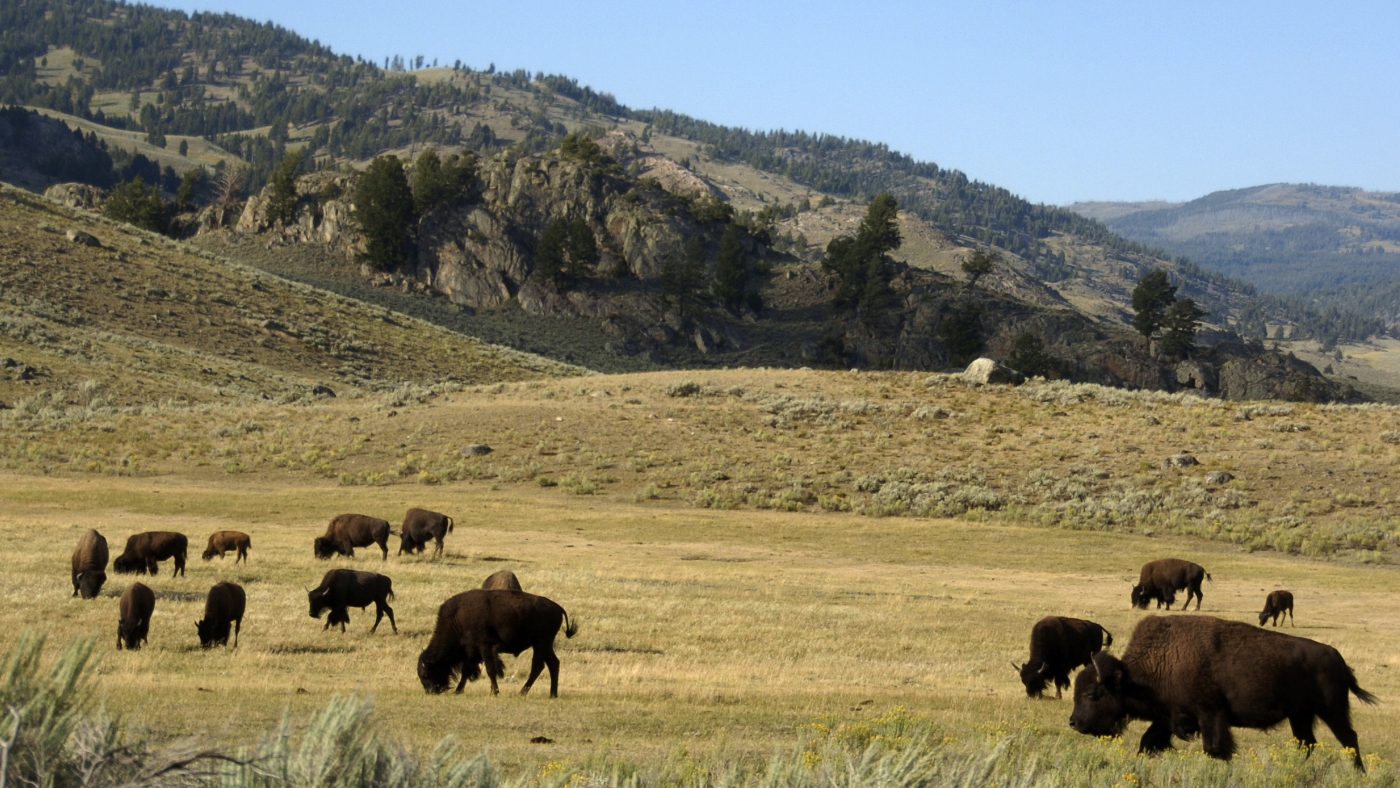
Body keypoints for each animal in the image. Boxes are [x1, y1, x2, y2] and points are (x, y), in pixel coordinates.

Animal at [417, 589, 578, 697]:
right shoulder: (471, 652)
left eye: (426, 675)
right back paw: (552, 694)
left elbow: (490, 669)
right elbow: (466, 670)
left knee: (538, 666)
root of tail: (558, 608)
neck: (457, 618)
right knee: (553, 664)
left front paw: (494, 692)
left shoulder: (485, 647)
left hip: (541, 644)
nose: (431, 691)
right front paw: (458, 690)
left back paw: (522, 692)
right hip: (544, 645)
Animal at [1070, 615, 1377, 770]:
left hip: (1332, 711)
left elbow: (1215, 748)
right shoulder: (1168, 717)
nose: (1073, 722)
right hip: (1300, 715)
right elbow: (1148, 742)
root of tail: (1337, 658)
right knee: (1307, 743)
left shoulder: (1210, 714)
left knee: (1349, 738)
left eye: (1092, 694)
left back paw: (1358, 772)